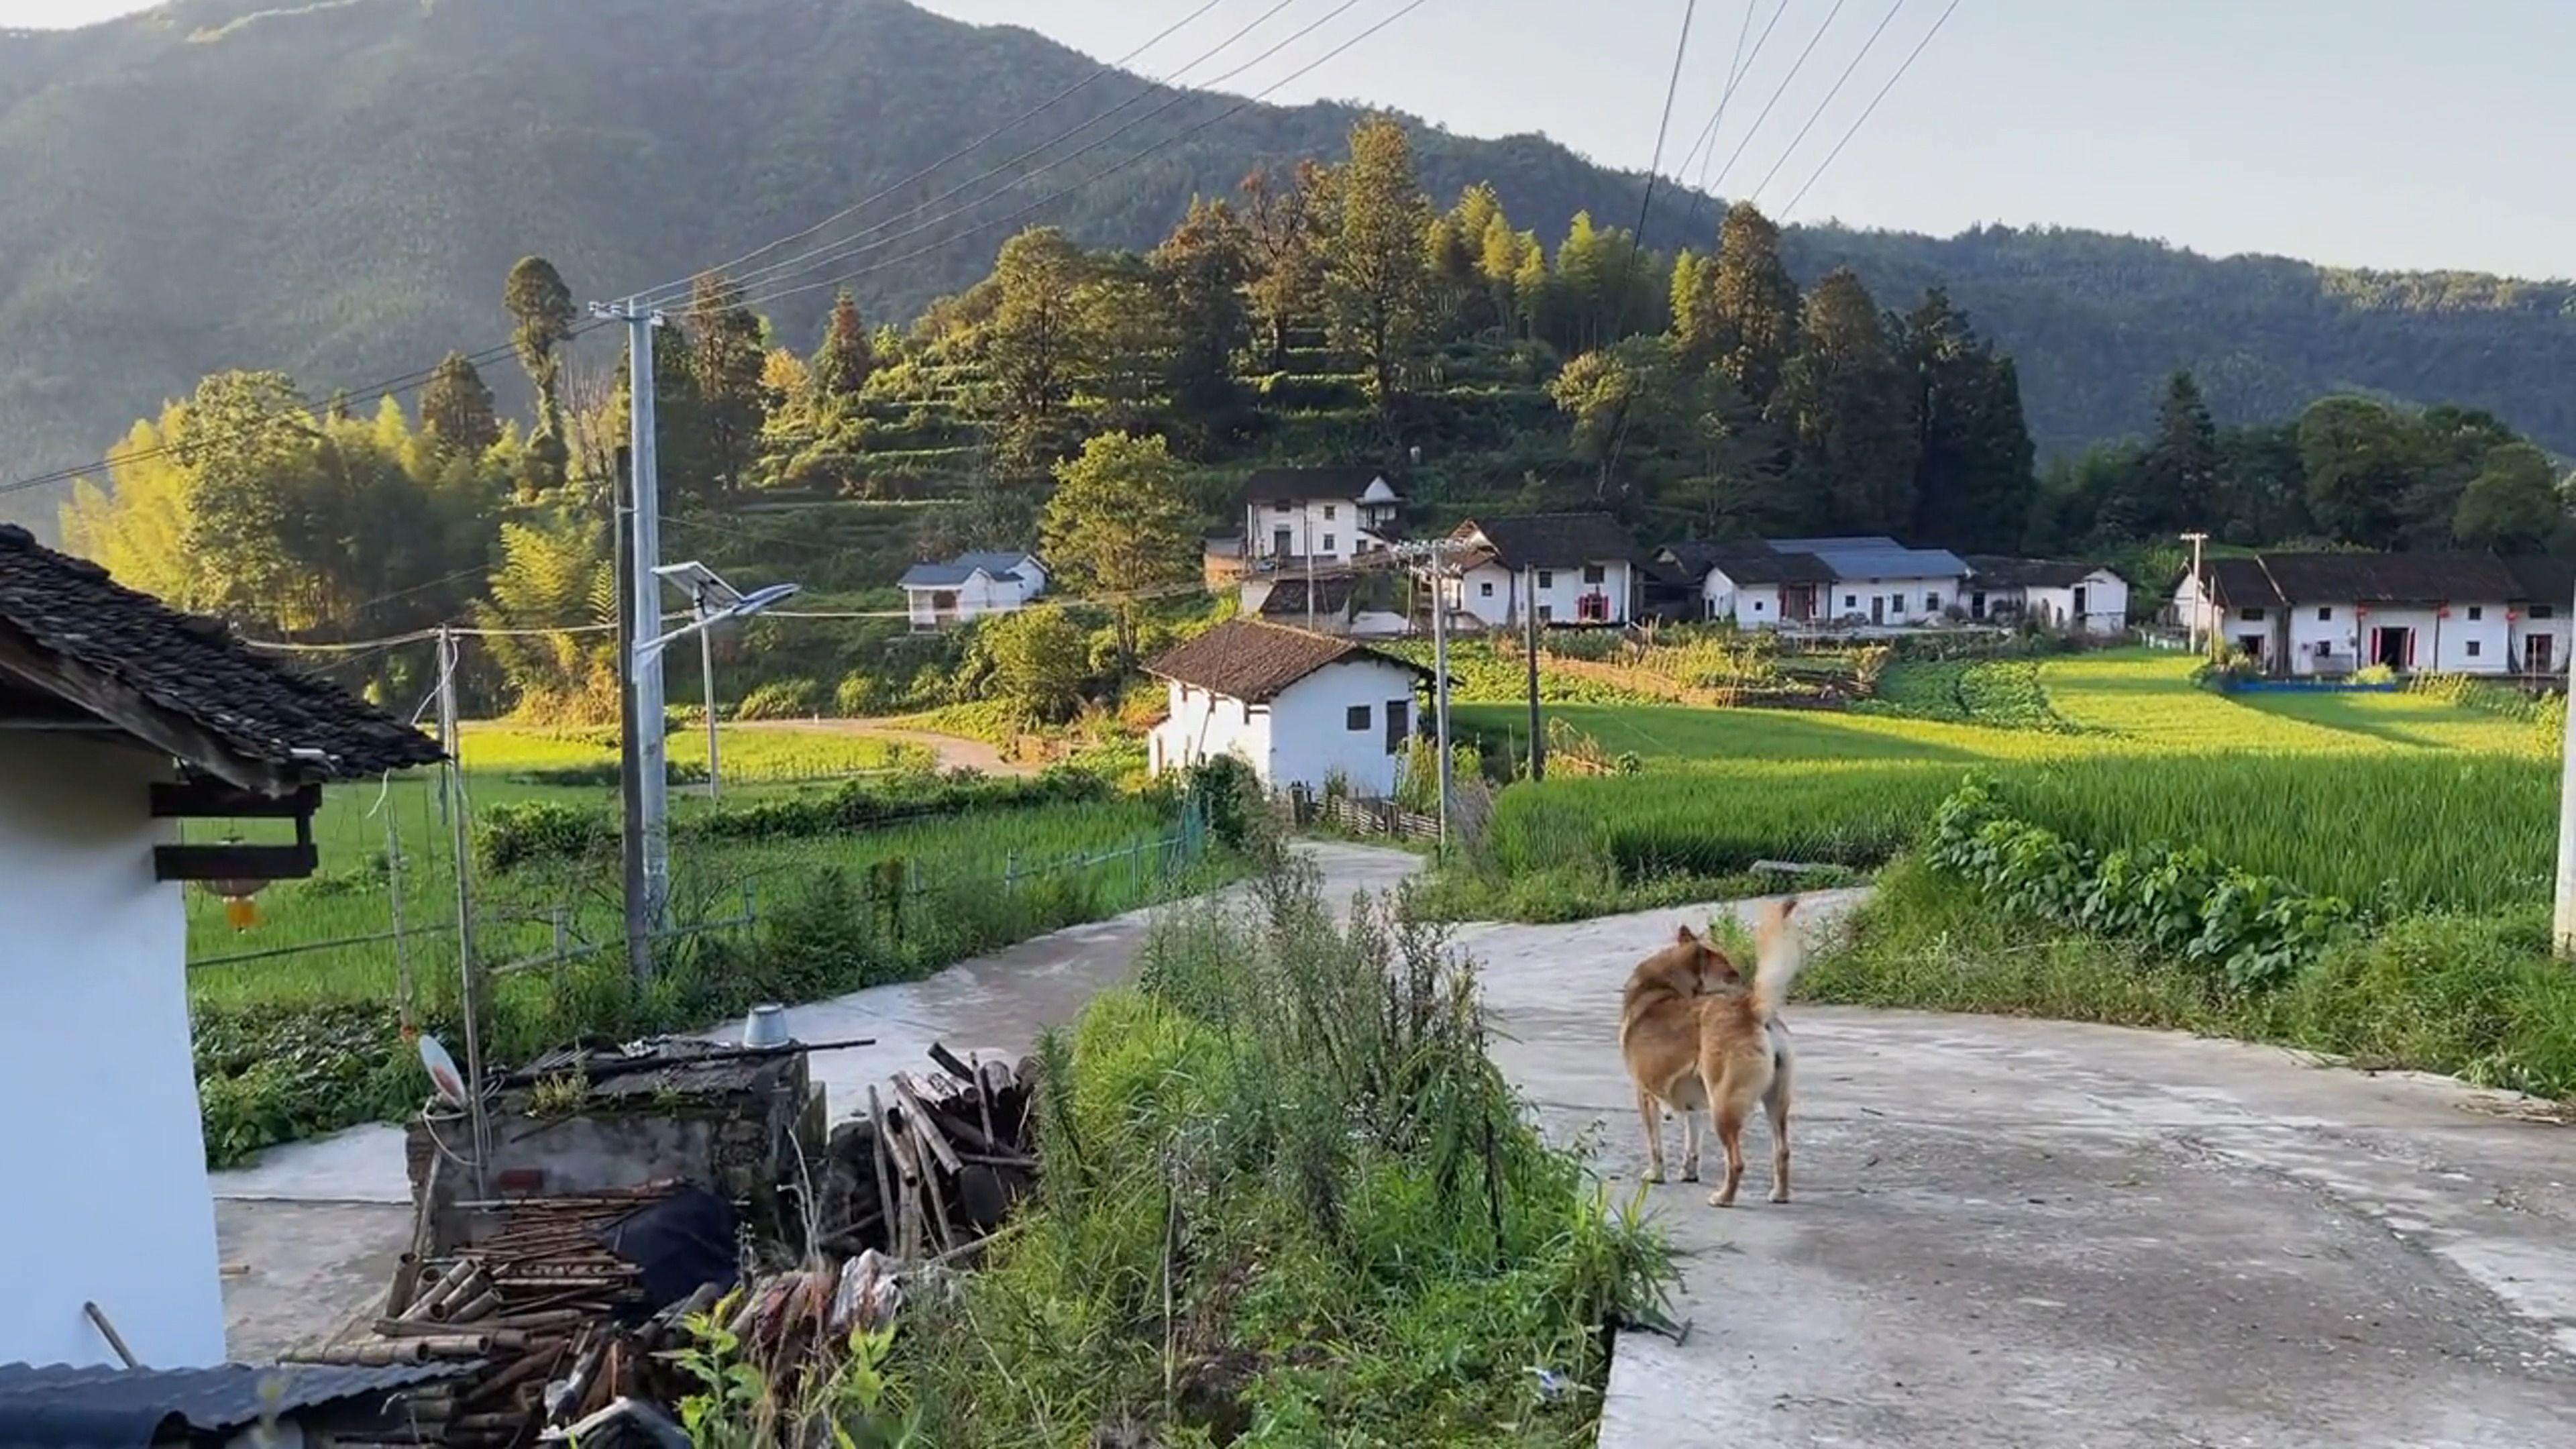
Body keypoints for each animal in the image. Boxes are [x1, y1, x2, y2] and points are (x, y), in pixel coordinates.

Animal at [1617, 897, 1803, 1201]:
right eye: (1732, 974)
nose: (1744, 983)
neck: (1663, 986)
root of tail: (1751, 1008)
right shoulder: (1693, 1104)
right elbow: (1692, 1143)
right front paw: (1689, 1173)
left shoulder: (1644, 1095)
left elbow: (1655, 1145)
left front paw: (1656, 1175)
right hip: (1775, 1103)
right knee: (1783, 1151)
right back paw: (1779, 1194)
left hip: (1723, 1106)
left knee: (1737, 1161)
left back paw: (1723, 1198)